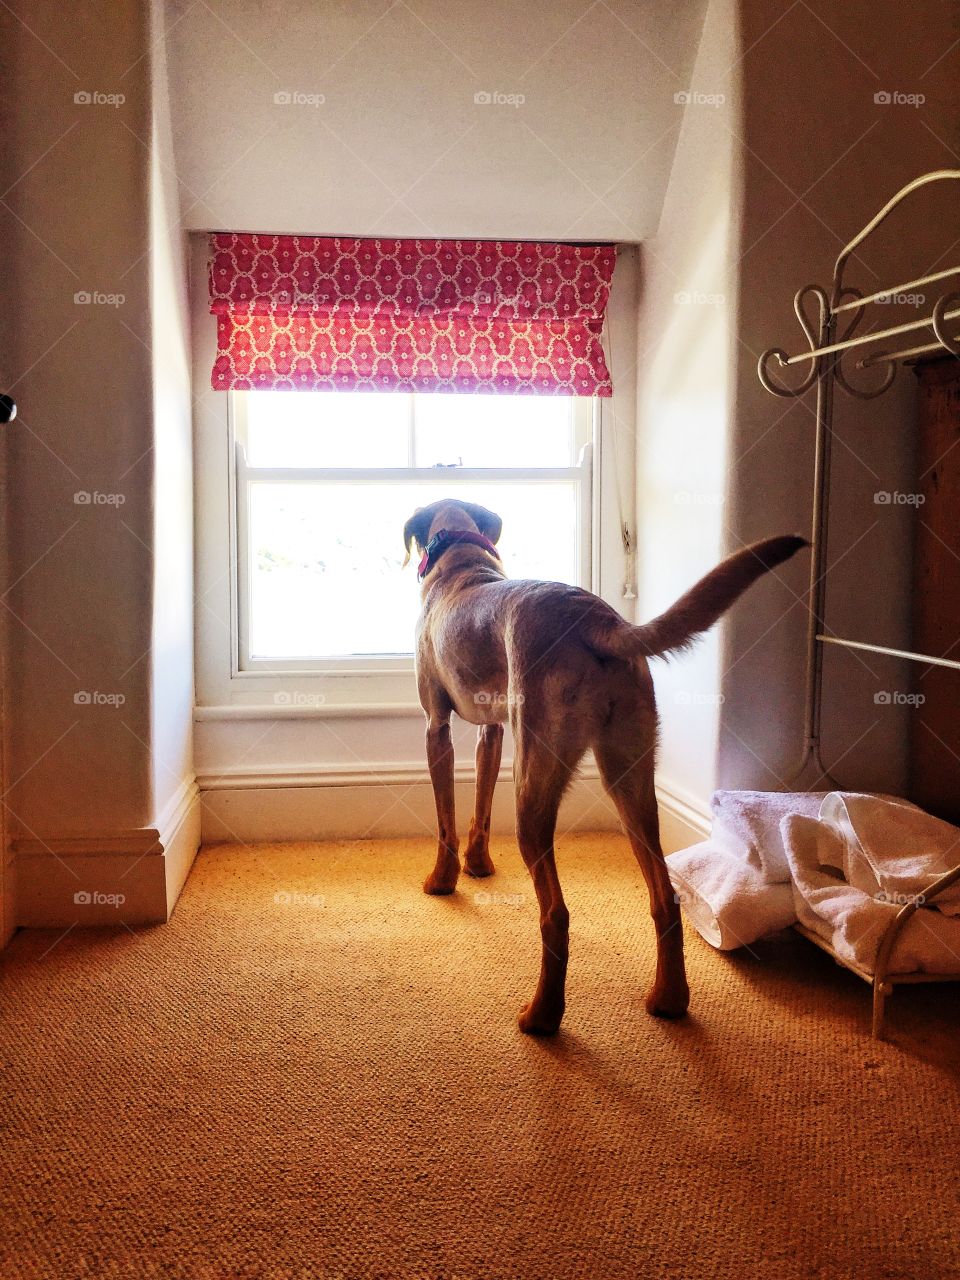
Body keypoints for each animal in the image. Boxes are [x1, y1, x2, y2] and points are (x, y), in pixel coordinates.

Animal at [401, 494, 808, 1034]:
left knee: (556, 912)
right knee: (665, 897)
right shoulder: (493, 732)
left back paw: (542, 1017)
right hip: (630, 780)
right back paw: (669, 1000)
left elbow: (446, 816)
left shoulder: (436, 727)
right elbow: (479, 808)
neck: (462, 563)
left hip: (535, 786)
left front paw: (443, 881)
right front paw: (479, 865)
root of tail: (596, 617)